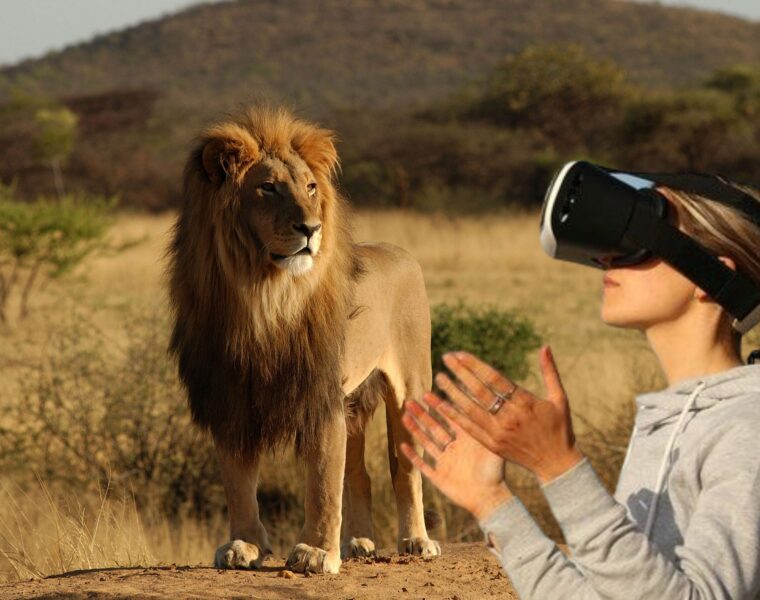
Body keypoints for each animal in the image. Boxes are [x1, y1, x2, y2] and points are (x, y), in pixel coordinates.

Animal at [166, 105, 440, 576]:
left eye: (311, 187)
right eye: (268, 188)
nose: (311, 228)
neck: (264, 296)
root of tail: (401, 252)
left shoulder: (320, 394)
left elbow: (323, 482)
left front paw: (315, 552)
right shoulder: (230, 395)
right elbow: (238, 481)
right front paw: (244, 545)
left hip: (410, 388)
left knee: (404, 469)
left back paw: (416, 541)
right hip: (354, 402)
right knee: (360, 474)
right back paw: (358, 543)